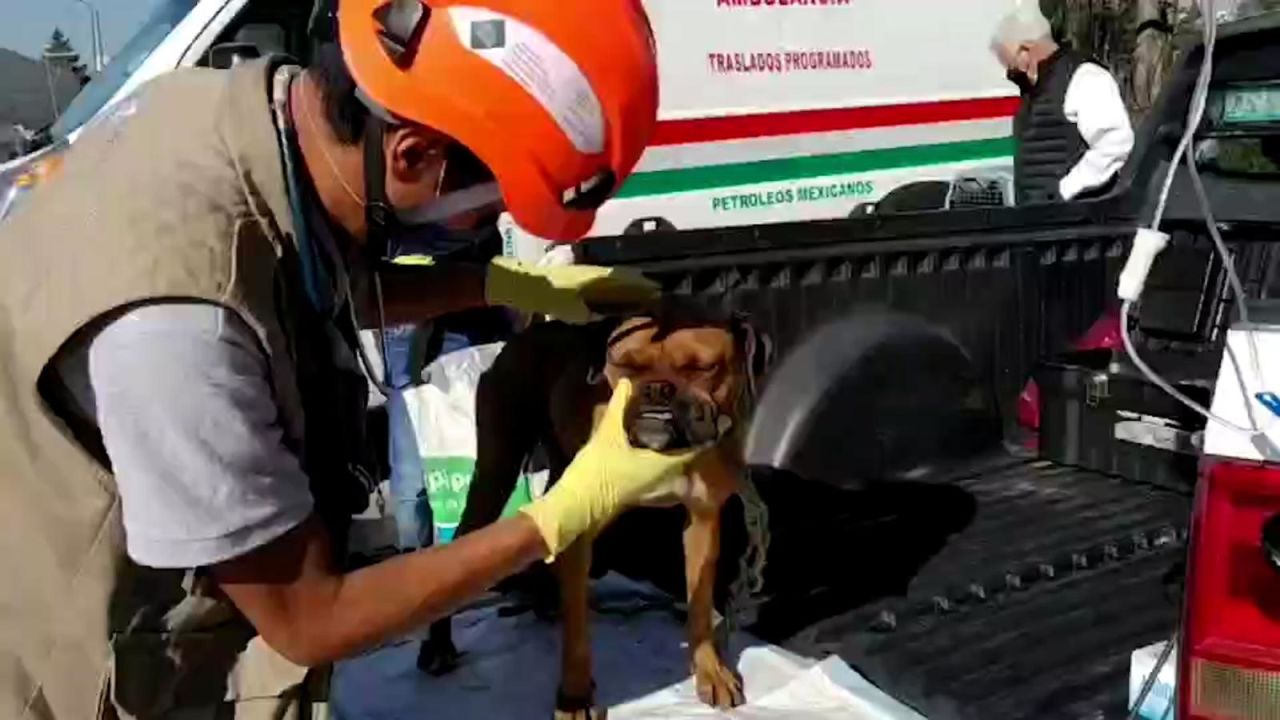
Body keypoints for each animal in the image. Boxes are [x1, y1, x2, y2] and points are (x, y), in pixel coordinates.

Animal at [419, 304, 768, 712]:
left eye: (702, 368)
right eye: (626, 366)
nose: (656, 388)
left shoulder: (702, 520)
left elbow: (699, 606)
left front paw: (710, 670)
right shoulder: (582, 524)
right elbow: (577, 632)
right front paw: (574, 697)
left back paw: (542, 597)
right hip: (497, 469)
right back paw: (440, 645)